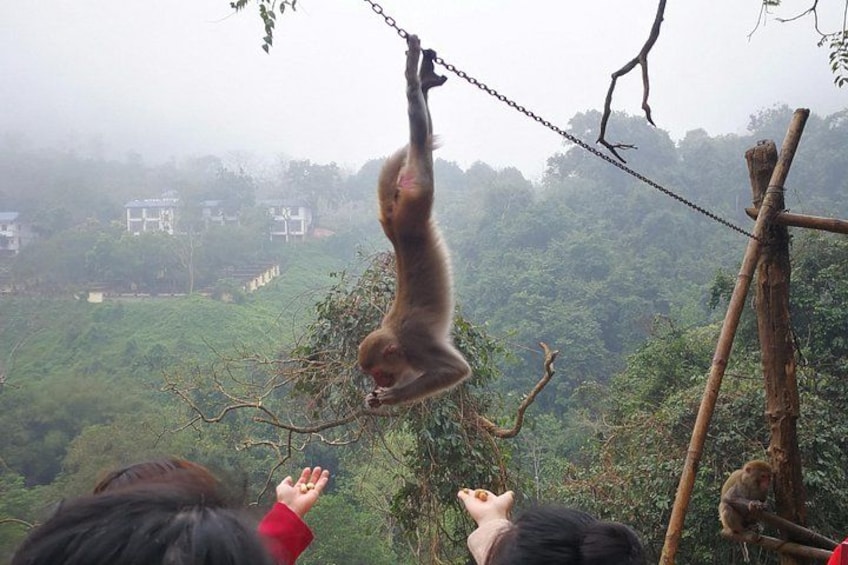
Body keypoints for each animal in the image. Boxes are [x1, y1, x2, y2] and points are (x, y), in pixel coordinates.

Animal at [358, 34, 471, 409]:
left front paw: (390, 398)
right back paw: (424, 81)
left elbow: (456, 370)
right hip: (406, 209)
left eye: (379, 373)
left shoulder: (418, 348)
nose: (379, 382)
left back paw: (413, 80)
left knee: (419, 141)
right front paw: (376, 399)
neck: (395, 337)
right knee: (421, 139)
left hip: (414, 197)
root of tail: (394, 227)